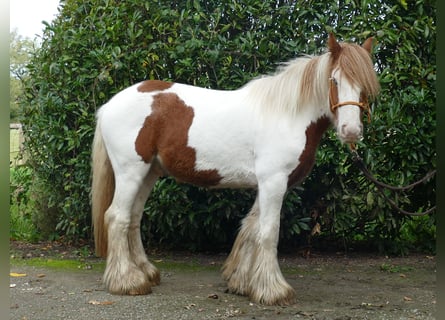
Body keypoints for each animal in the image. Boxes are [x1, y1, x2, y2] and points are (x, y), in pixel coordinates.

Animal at [90, 33, 378, 306]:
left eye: (365, 85)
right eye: (334, 80)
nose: (351, 131)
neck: (288, 114)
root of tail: (108, 106)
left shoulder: (267, 183)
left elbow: (251, 227)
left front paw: (243, 282)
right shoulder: (274, 181)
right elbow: (268, 231)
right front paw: (273, 290)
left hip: (148, 174)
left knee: (133, 218)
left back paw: (146, 273)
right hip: (130, 173)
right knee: (117, 217)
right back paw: (127, 281)